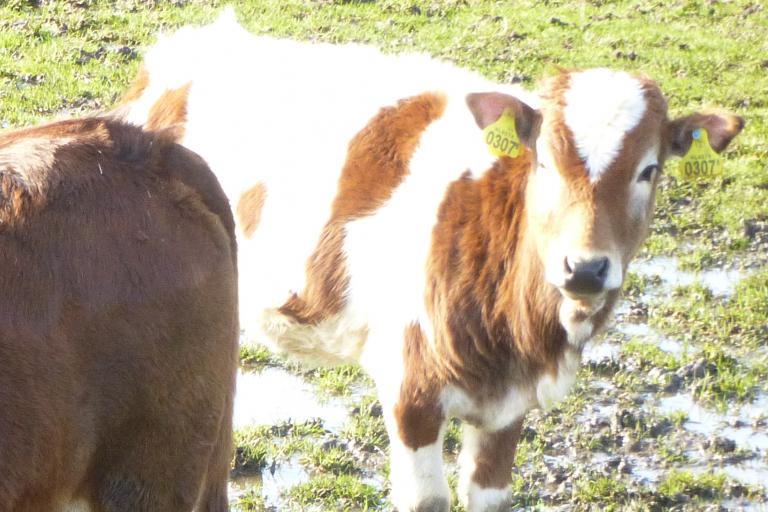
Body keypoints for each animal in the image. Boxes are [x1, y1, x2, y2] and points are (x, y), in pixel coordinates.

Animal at [117, 12, 748, 512]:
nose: (585, 269)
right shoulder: (410, 384)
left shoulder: (507, 409)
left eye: (649, 170)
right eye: (543, 161)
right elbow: (426, 499)